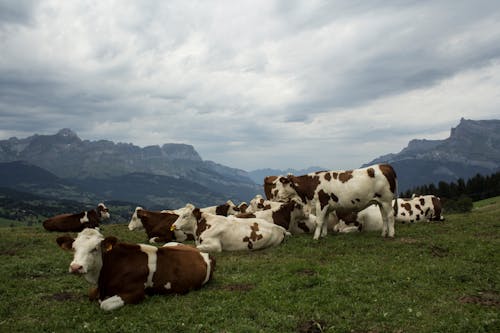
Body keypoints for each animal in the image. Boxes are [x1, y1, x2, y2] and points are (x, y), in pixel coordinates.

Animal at [57, 227, 215, 310]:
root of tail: (199, 250)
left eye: (95, 249)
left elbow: (105, 305)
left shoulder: (135, 292)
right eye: (74, 248)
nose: (76, 267)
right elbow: (91, 294)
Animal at [262, 163, 398, 239]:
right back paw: (384, 234)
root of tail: (384, 166)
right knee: (384, 217)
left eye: (282, 183)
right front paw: (323, 235)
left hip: (387, 200)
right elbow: (325, 221)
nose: (277, 195)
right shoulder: (328, 206)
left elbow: (319, 221)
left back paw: (391, 234)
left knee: (390, 216)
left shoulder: (321, 203)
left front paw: (316, 237)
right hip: (380, 202)